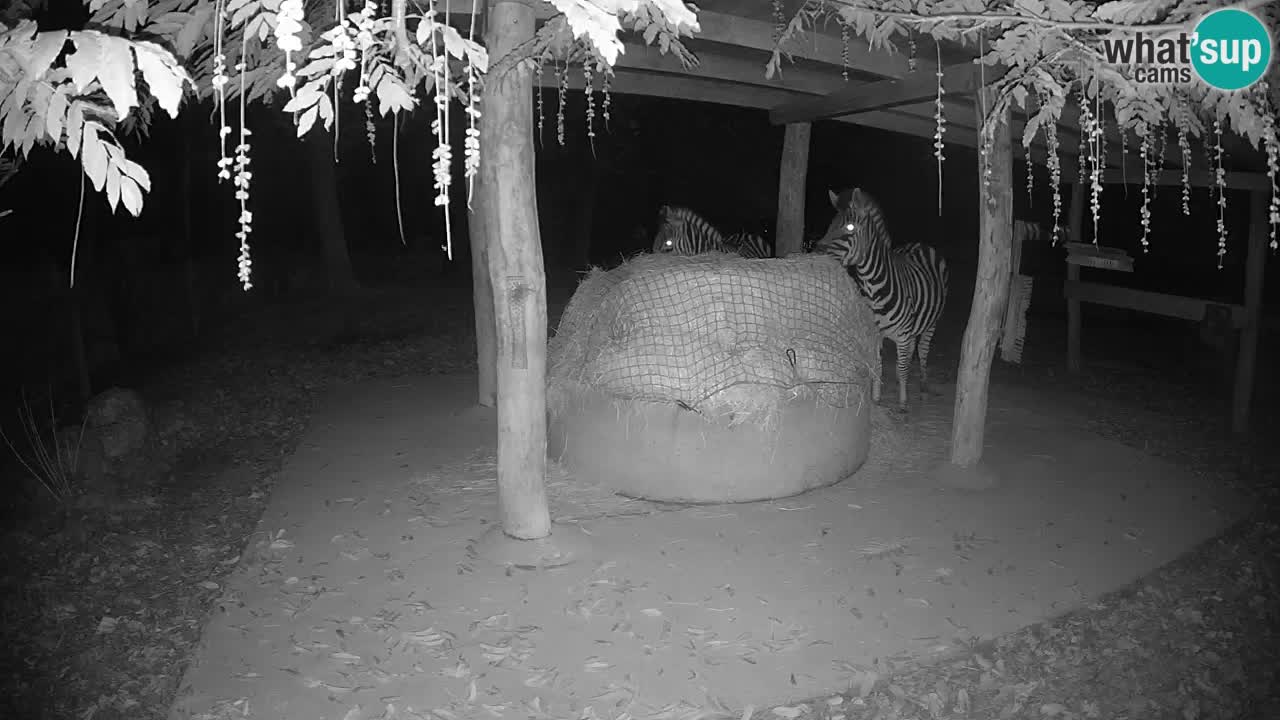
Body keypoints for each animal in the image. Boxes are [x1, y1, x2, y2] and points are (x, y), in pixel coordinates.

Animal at [814, 185, 947, 409]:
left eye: (850, 227)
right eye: (830, 225)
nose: (815, 254)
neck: (874, 288)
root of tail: (920, 244)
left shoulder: (902, 335)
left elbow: (901, 368)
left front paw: (903, 403)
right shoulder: (875, 334)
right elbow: (877, 365)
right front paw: (876, 398)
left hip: (932, 322)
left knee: (922, 351)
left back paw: (922, 386)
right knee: (912, 350)